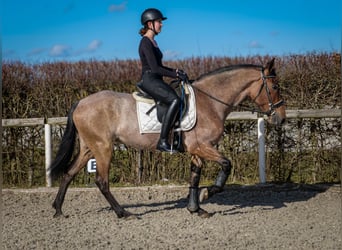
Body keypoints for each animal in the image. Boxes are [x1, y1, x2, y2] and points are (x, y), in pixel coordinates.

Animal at [49, 57, 286, 218]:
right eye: (275, 86)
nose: (281, 118)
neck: (210, 102)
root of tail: (80, 102)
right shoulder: (203, 146)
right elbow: (227, 164)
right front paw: (208, 193)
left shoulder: (196, 150)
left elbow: (195, 176)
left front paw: (196, 208)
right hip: (103, 148)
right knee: (101, 181)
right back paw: (123, 213)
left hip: (89, 147)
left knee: (68, 174)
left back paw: (58, 209)